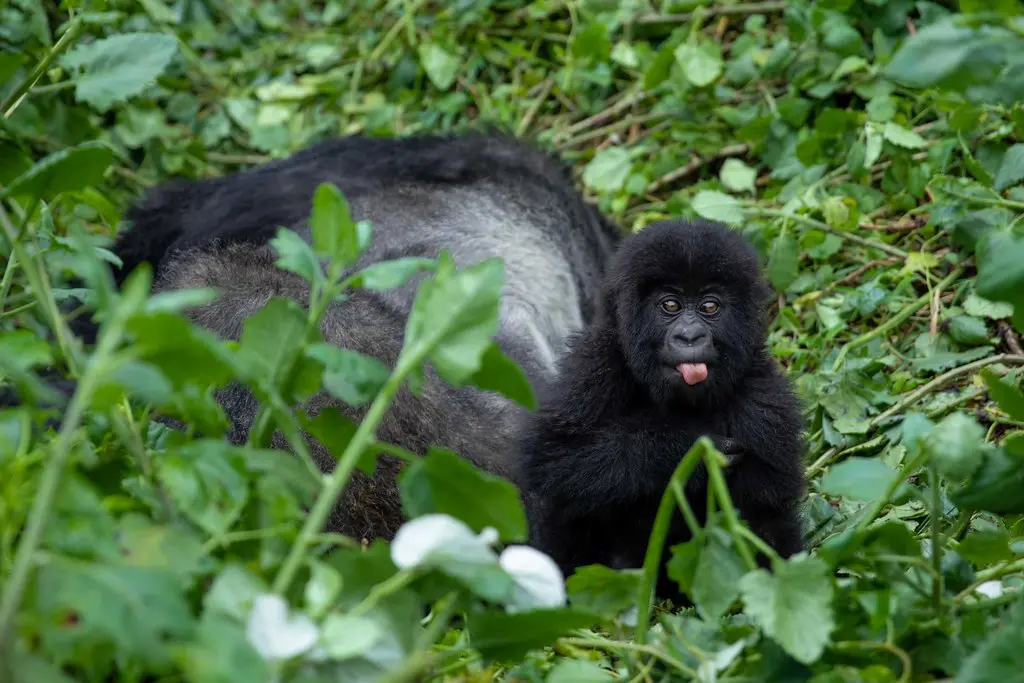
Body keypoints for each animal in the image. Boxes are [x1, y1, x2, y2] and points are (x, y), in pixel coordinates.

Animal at [513, 219, 807, 602]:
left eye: (709, 307)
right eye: (670, 305)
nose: (689, 336)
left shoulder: (765, 402)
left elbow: (768, 517)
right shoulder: (595, 368)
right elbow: (551, 458)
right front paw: (678, 449)